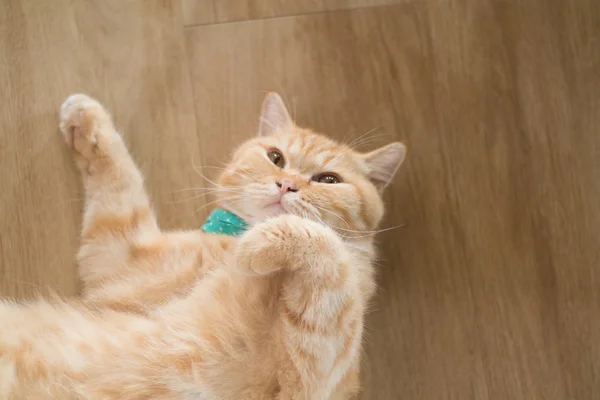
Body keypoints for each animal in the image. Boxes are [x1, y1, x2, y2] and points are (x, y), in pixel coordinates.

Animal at [0, 92, 406, 398]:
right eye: (276, 157)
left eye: (328, 179)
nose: (287, 185)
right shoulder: (115, 255)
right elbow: (119, 181)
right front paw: (85, 119)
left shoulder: (314, 375)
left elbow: (328, 246)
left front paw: (256, 247)